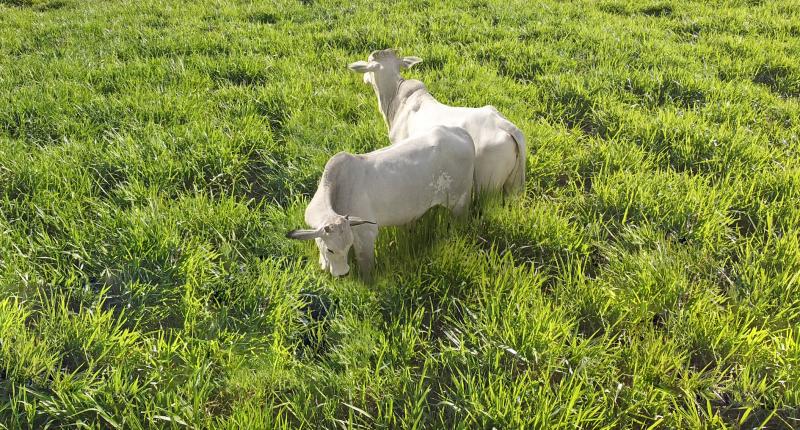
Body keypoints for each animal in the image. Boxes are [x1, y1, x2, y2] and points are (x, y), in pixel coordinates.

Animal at [286, 125, 476, 278]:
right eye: (330, 249)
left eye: (348, 246)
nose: (343, 274)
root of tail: (463, 133)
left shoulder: (365, 235)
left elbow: (366, 267)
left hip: (460, 203)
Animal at [348, 47, 524, 194]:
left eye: (368, 62)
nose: (365, 78)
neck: (394, 99)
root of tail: (503, 124)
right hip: (513, 186)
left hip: (486, 185)